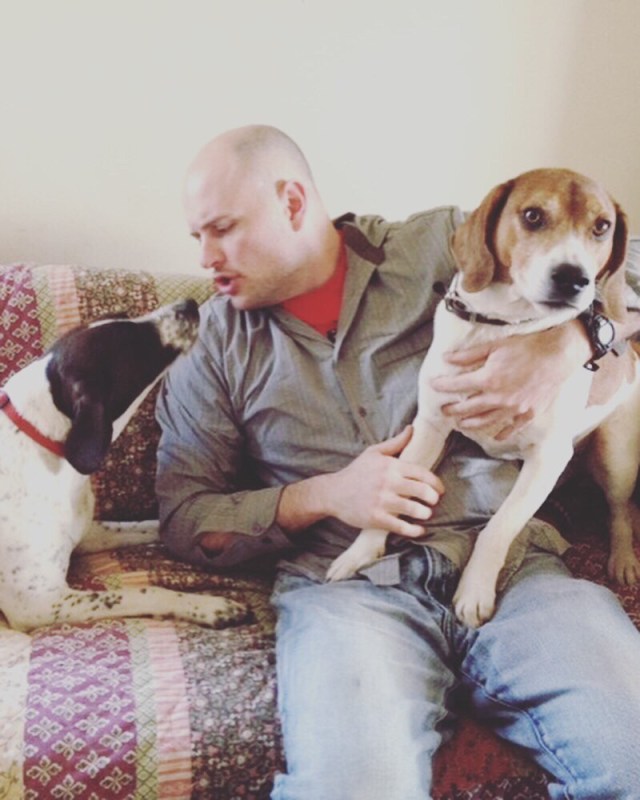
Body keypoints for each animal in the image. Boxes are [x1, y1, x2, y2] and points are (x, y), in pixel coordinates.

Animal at [0, 299, 248, 632]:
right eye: (134, 344)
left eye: (121, 317)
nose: (188, 304)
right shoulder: (39, 603)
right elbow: (148, 591)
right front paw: (209, 606)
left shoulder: (86, 533)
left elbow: (155, 526)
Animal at [327, 168, 640, 627]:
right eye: (532, 215)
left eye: (602, 227)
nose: (574, 278)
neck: (498, 326)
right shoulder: (431, 428)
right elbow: (392, 495)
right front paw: (361, 551)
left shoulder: (547, 459)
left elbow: (499, 528)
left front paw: (474, 590)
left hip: (616, 455)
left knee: (619, 510)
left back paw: (623, 558)